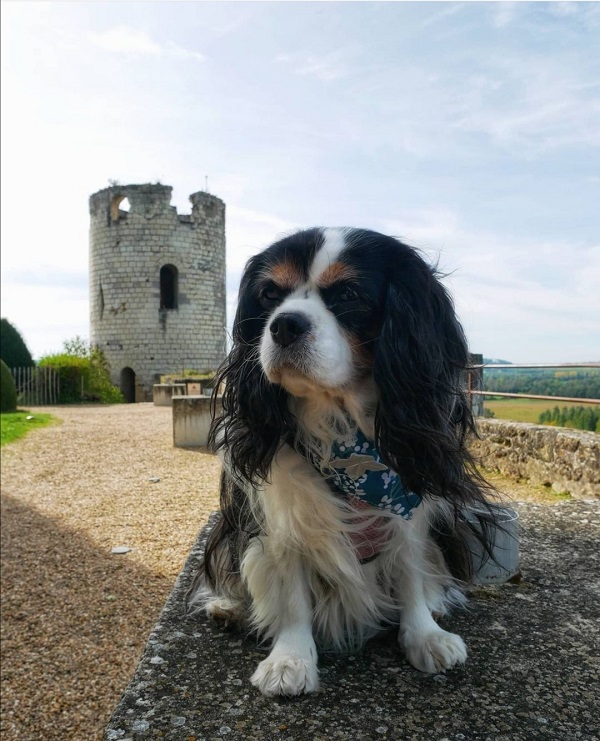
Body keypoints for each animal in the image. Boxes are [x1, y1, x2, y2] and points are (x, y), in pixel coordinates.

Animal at [189, 225, 496, 692]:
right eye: (269, 294)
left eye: (349, 293)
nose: (284, 324)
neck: (341, 424)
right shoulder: (285, 514)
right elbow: (291, 591)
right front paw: (291, 659)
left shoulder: (408, 504)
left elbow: (410, 568)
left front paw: (424, 635)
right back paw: (230, 608)